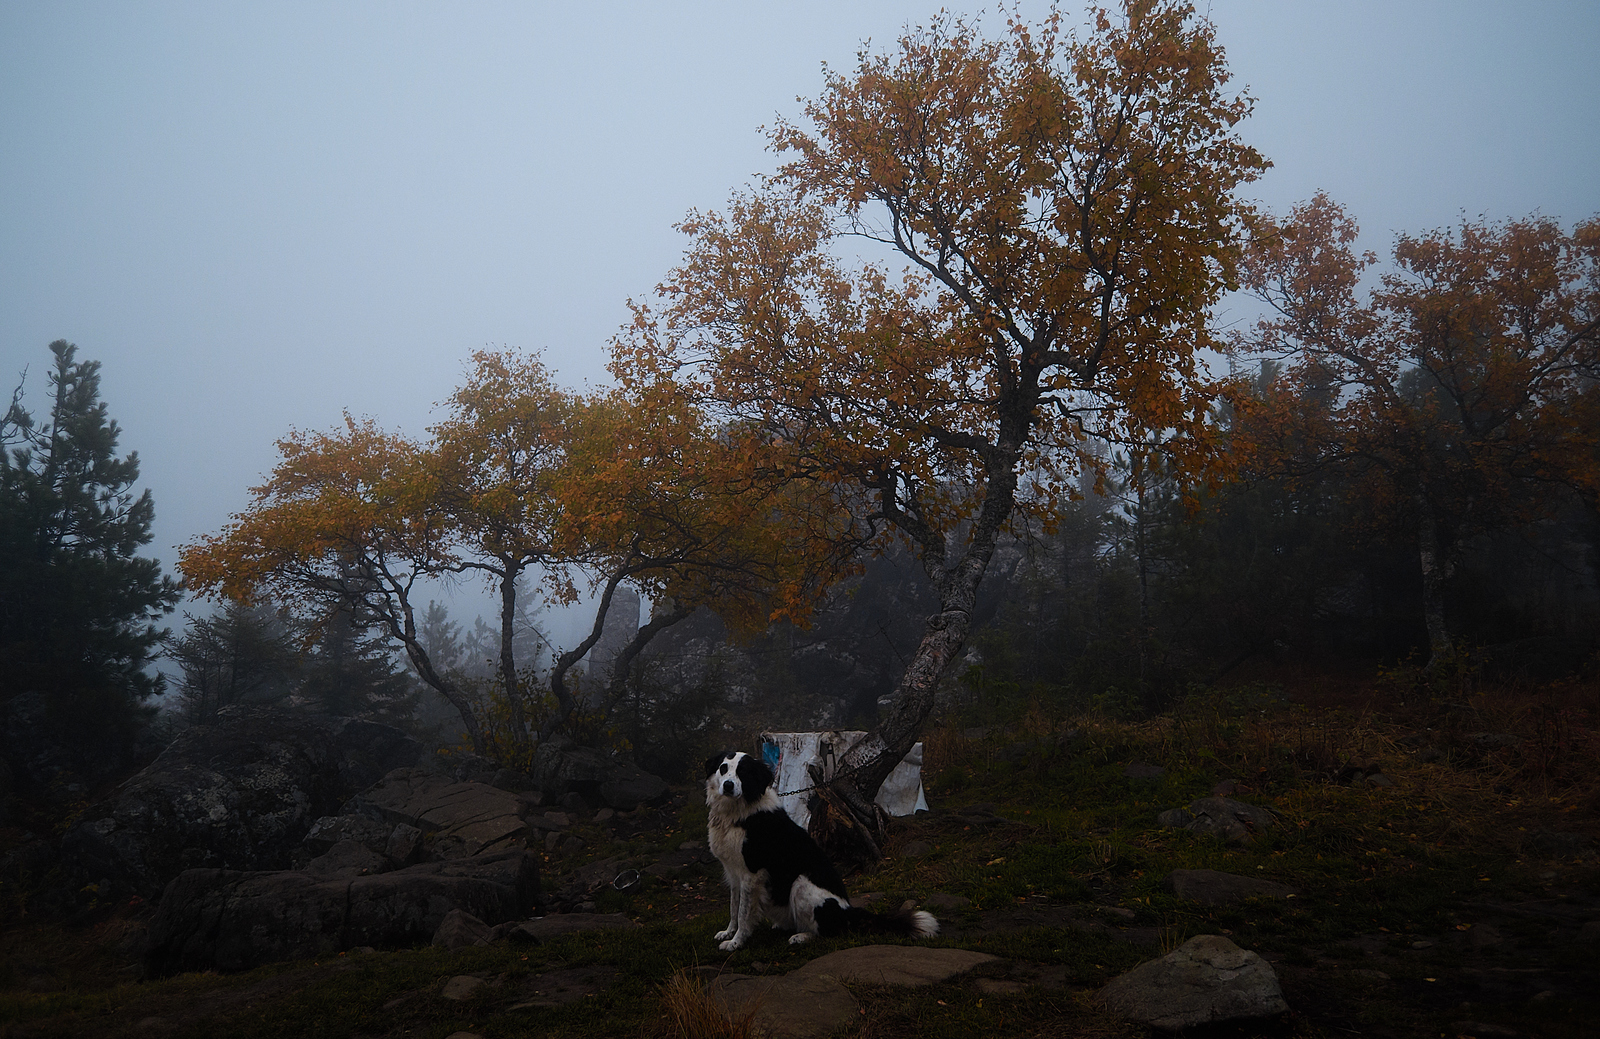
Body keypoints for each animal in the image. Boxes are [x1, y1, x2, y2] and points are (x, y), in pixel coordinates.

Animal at [704, 746, 934, 947]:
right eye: (723, 768)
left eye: (743, 772)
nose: (728, 785)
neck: (737, 813)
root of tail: (847, 911)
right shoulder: (734, 872)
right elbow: (734, 907)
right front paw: (729, 932)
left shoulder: (751, 873)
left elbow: (744, 913)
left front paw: (736, 942)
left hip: (802, 884)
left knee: (829, 930)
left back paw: (801, 937)